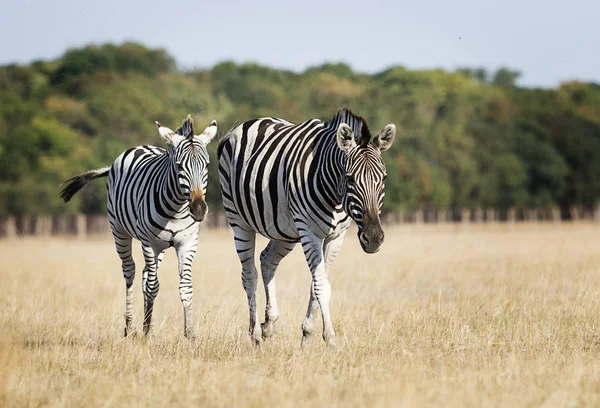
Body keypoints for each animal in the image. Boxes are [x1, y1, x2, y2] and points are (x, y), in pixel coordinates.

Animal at [58, 116, 217, 340]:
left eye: (207, 165)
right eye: (179, 166)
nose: (199, 209)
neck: (176, 209)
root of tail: (138, 147)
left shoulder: (188, 244)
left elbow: (185, 287)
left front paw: (190, 334)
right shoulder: (148, 243)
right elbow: (153, 287)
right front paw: (148, 333)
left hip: (159, 247)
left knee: (144, 275)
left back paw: (142, 325)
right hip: (120, 231)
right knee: (130, 271)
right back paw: (131, 326)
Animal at [218, 107, 396, 346]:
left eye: (383, 179)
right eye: (350, 179)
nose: (374, 238)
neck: (335, 196)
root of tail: (246, 124)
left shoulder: (336, 237)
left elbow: (316, 284)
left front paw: (308, 334)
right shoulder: (309, 232)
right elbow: (321, 285)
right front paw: (330, 338)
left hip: (284, 230)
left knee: (267, 261)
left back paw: (269, 323)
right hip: (239, 221)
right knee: (249, 275)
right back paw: (254, 333)